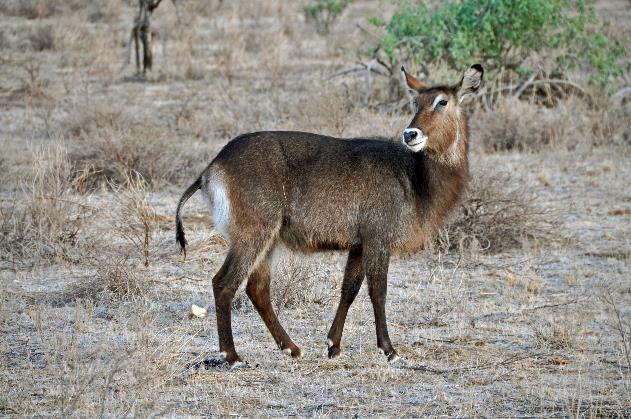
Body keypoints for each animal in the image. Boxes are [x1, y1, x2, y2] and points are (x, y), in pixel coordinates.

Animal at [174, 63, 484, 368]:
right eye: (415, 102)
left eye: (442, 101)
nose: (411, 134)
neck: (415, 177)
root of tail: (212, 168)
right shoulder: (378, 239)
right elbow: (378, 292)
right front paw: (389, 350)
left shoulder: (359, 244)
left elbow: (349, 289)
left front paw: (333, 345)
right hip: (254, 232)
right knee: (224, 283)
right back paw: (233, 356)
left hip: (268, 239)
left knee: (257, 288)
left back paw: (292, 348)